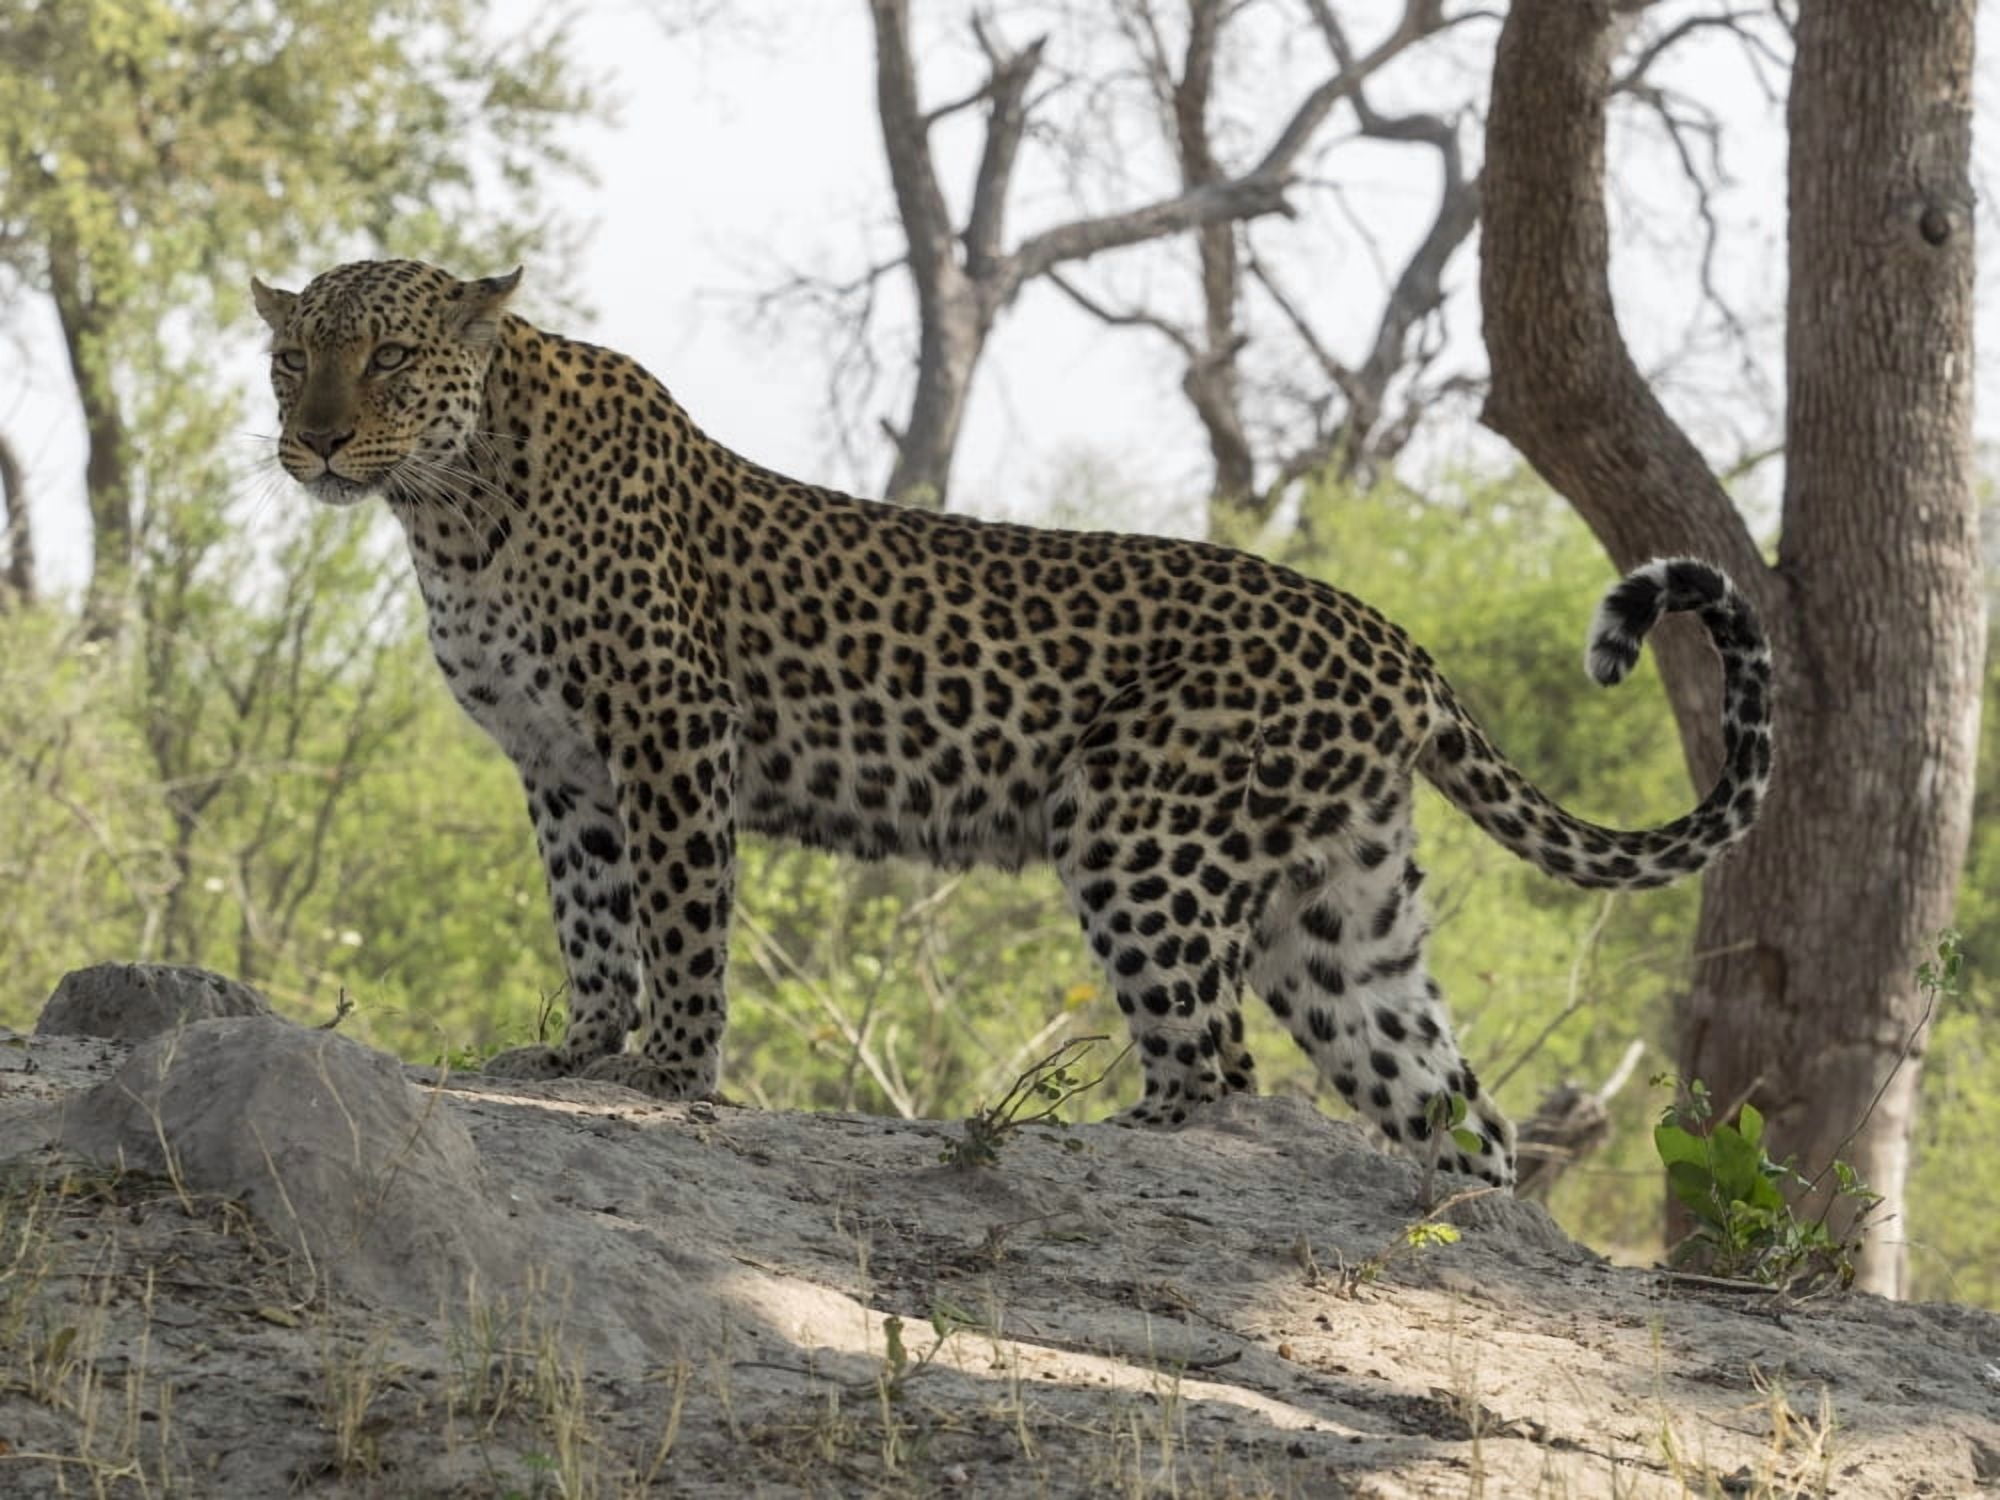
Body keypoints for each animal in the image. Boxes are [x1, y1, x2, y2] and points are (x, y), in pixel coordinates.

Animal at [252, 258, 1773, 1189]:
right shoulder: (564, 768)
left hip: (1138, 835)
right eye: (289, 361)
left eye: (385, 359)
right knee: (1454, 1106)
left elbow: (679, 920)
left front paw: (671, 1071)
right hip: (1341, 910)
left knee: (1215, 1065)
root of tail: (1397, 642)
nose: (311, 440)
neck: (451, 508)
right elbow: (590, 920)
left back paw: (1092, 1139)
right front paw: (578, 1052)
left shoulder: (670, 734)